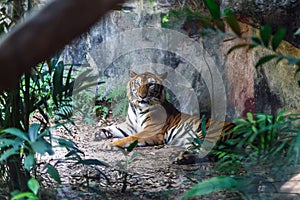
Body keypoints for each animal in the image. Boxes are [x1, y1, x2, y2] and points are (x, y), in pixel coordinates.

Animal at [96, 71, 234, 163]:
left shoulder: (151, 131)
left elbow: (130, 138)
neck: (137, 109)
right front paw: (100, 132)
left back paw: (182, 158)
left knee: (206, 153)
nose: (142, 96)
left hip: (206, 135)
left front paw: (110, 143)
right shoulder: (130, 125)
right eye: (138, 84)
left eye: (151, 85)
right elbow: (116, 127)